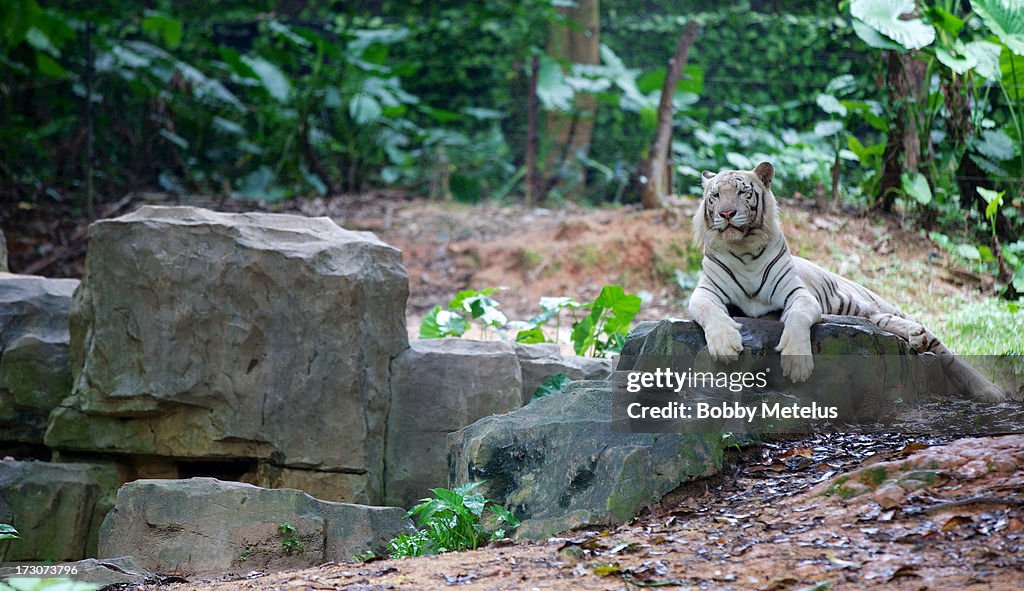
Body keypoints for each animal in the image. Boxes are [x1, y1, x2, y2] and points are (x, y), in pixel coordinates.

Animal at [688, 161, 1007, 401]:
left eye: (743, 192)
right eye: (715, 196)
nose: (726, 213)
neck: (743, 248)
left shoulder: (799, 294)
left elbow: (798, 317)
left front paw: (797, 364)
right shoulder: (704, 293)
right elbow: (710, 312)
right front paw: (725, 345)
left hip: (873, 304)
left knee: (946, 351)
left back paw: (989, 390)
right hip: (863, 311)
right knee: (883, 322)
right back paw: (916, 337)